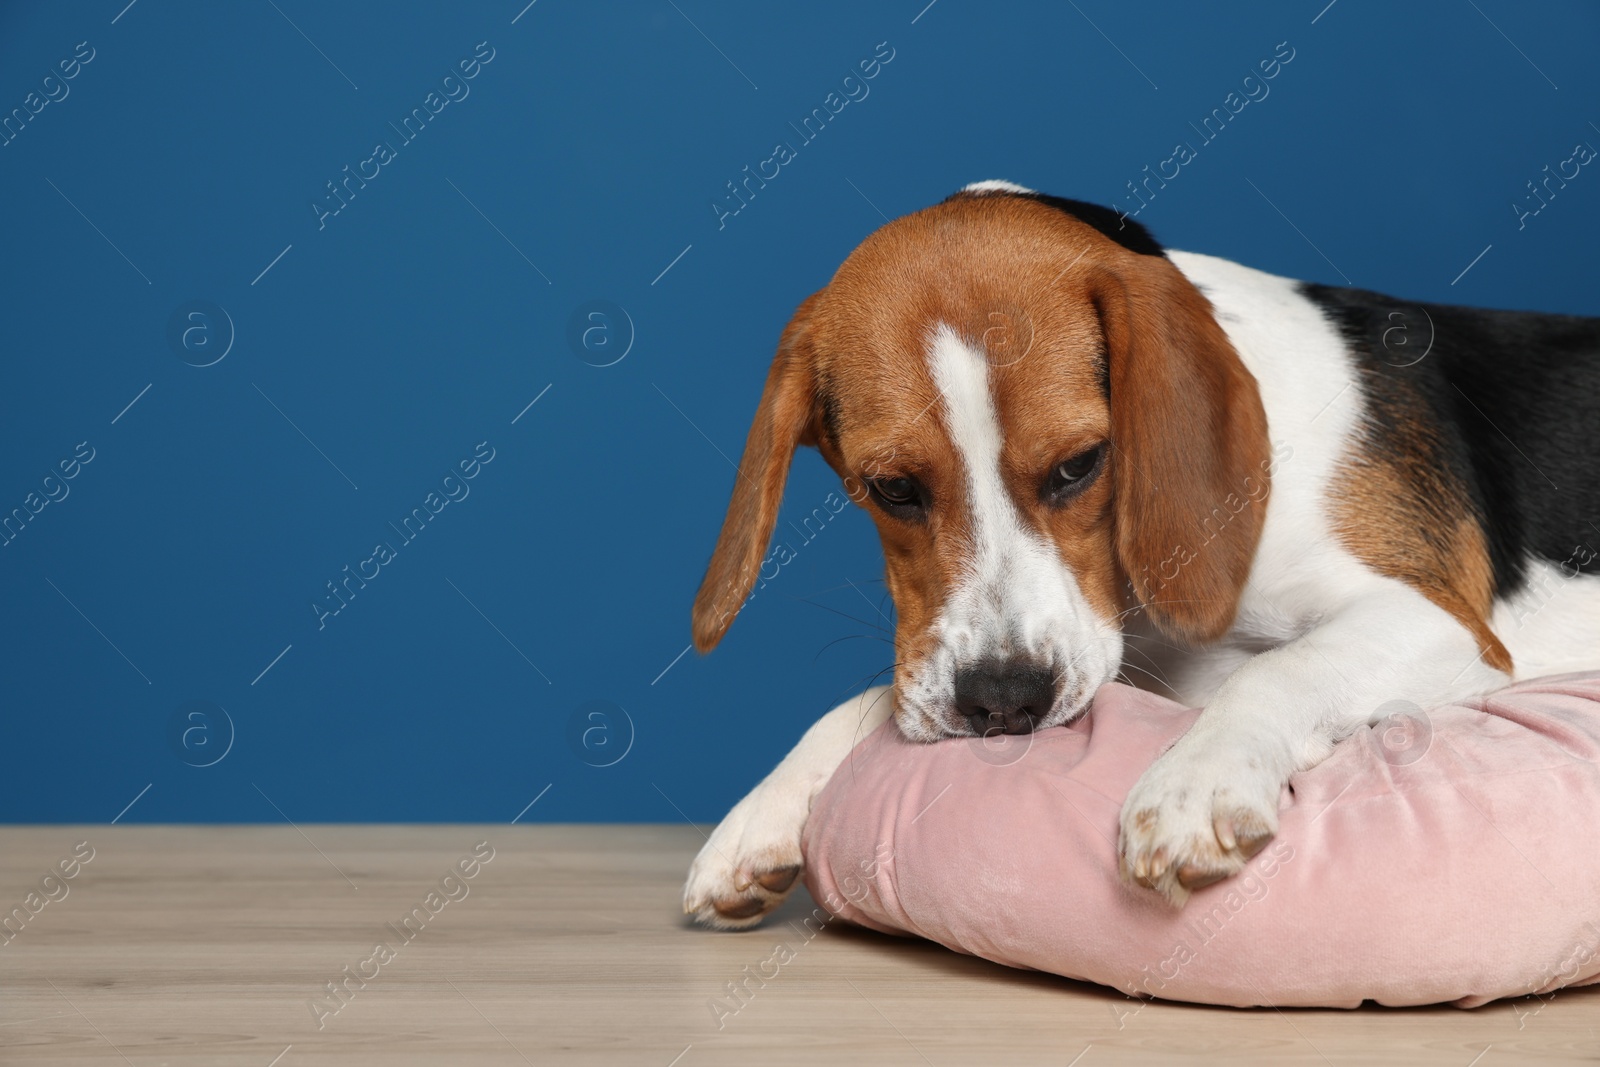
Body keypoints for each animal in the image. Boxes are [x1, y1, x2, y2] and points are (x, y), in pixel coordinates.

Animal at [681, 181, 1600, 927]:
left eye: (1080, 465)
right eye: (893, 487)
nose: (1004, 702)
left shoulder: (1440, 622)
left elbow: (1281, 667)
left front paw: (1194, 783)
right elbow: (881, 696)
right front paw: (763, 811)